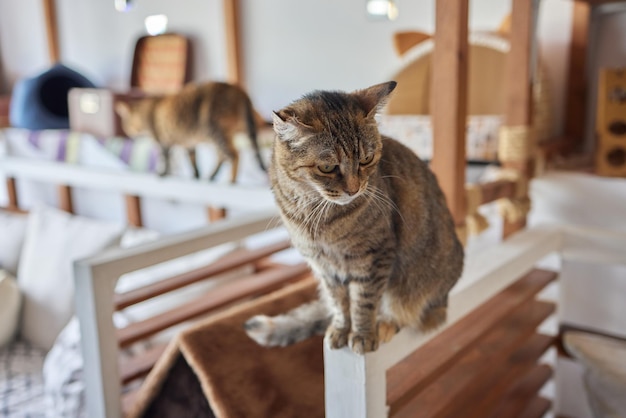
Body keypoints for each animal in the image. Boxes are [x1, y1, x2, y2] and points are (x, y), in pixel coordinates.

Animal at [114, 81, 266, 182]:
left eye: (126, 124)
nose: (130, 133)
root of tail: (239, 90)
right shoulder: (189, 144)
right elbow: (193, 161)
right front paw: (195, 176)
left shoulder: (162, 140)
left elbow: (164, 159)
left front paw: (162, 174)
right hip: (218, 136)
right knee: (223, 156)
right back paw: (211, 176)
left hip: (214, 130)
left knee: (234, 155)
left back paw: (231, 181)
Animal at [245, 82, 464, 356]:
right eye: (327, 167)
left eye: (366, 160)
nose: (354, 189)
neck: (315, 213)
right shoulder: (325, 267)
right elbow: (339, 304)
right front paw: (341, 330)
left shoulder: (374, 257)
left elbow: (363, 302)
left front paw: (362, 334)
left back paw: (386, 324)